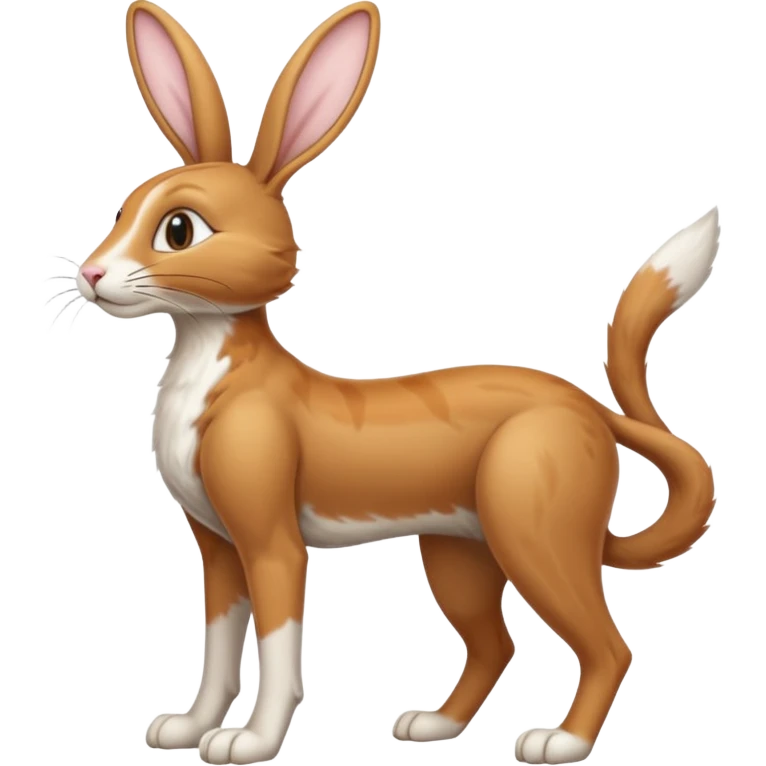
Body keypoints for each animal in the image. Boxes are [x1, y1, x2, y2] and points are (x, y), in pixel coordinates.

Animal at [66, 1, 721, 764]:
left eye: (178, 230)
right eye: (122, 209)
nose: (90, 273)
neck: (214, 375)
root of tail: (587, 404)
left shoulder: (271, 543)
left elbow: (279, 650)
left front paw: (253, 740)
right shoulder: (218, 547)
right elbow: (219, 647)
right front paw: (192, 726)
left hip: (534, 536)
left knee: (610, 647)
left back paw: (561, 741)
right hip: (460, 551)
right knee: (496, 645)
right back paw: (436, 725)